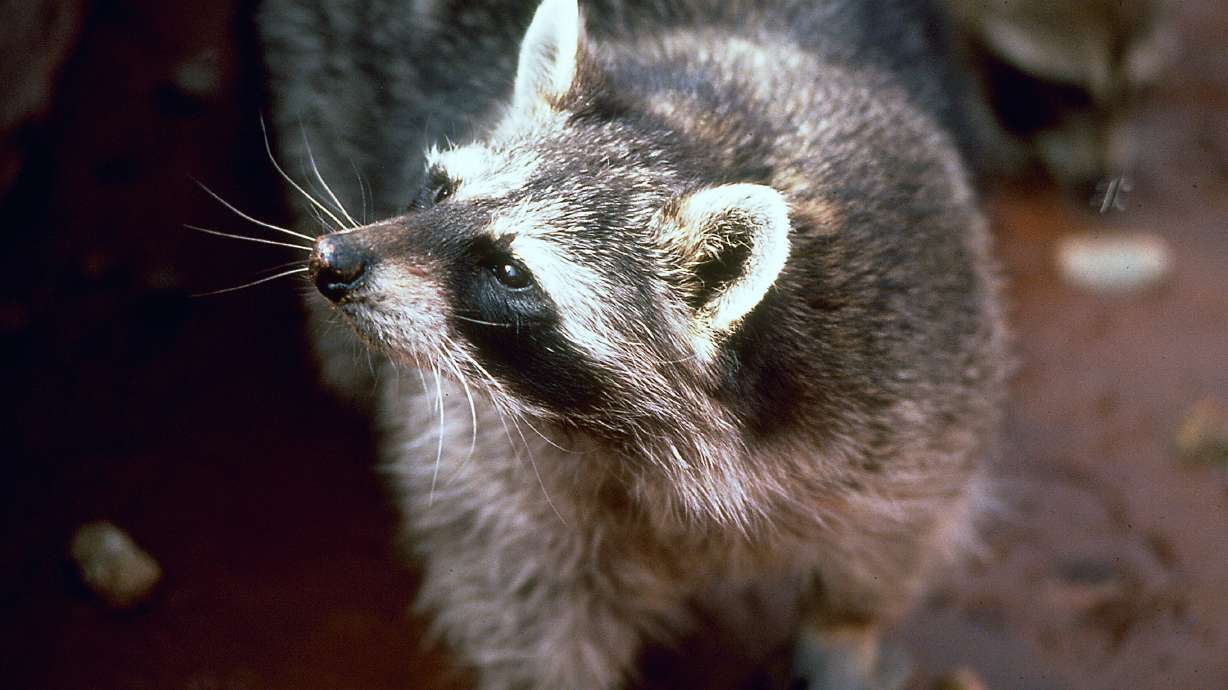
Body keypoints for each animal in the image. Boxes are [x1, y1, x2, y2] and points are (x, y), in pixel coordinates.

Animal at [262, 0, 1007, 688]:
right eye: (440, 190)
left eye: (510, 271)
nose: (334, 261)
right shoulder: (487, 460)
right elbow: (522, 602)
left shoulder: (921, 371)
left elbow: (887, 551)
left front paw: (847, 639)